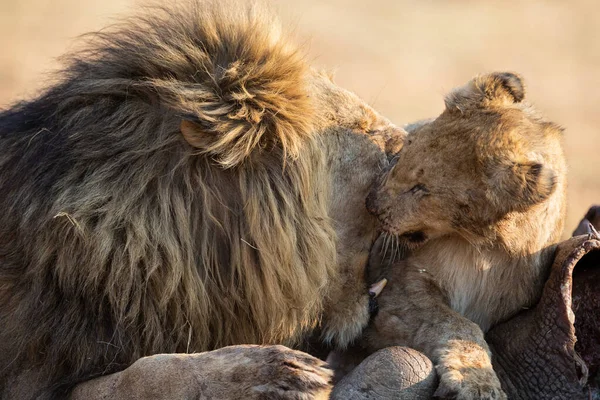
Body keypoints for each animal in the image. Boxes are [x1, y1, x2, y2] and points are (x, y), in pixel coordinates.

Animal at [360, 72, 568, 400]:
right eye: (407, 146)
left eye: (422, 189)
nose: (369, 204)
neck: (480, 251)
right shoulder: (394, 290)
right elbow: (457, 325)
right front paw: (477, 384)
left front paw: (478, 383)